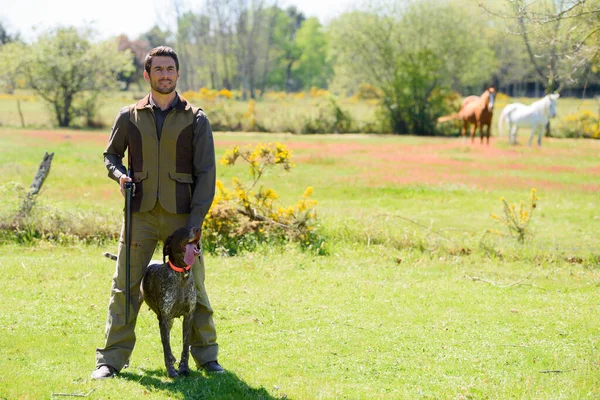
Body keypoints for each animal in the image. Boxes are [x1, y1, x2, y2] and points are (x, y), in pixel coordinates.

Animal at [105, 227, 202, 376]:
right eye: (182, 230)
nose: (198, 229)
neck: (181, 274)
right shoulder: (165, 318)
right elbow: (166, 347)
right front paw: (171, 371)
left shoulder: (188, 317)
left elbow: (185, 347)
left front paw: (184, 368)